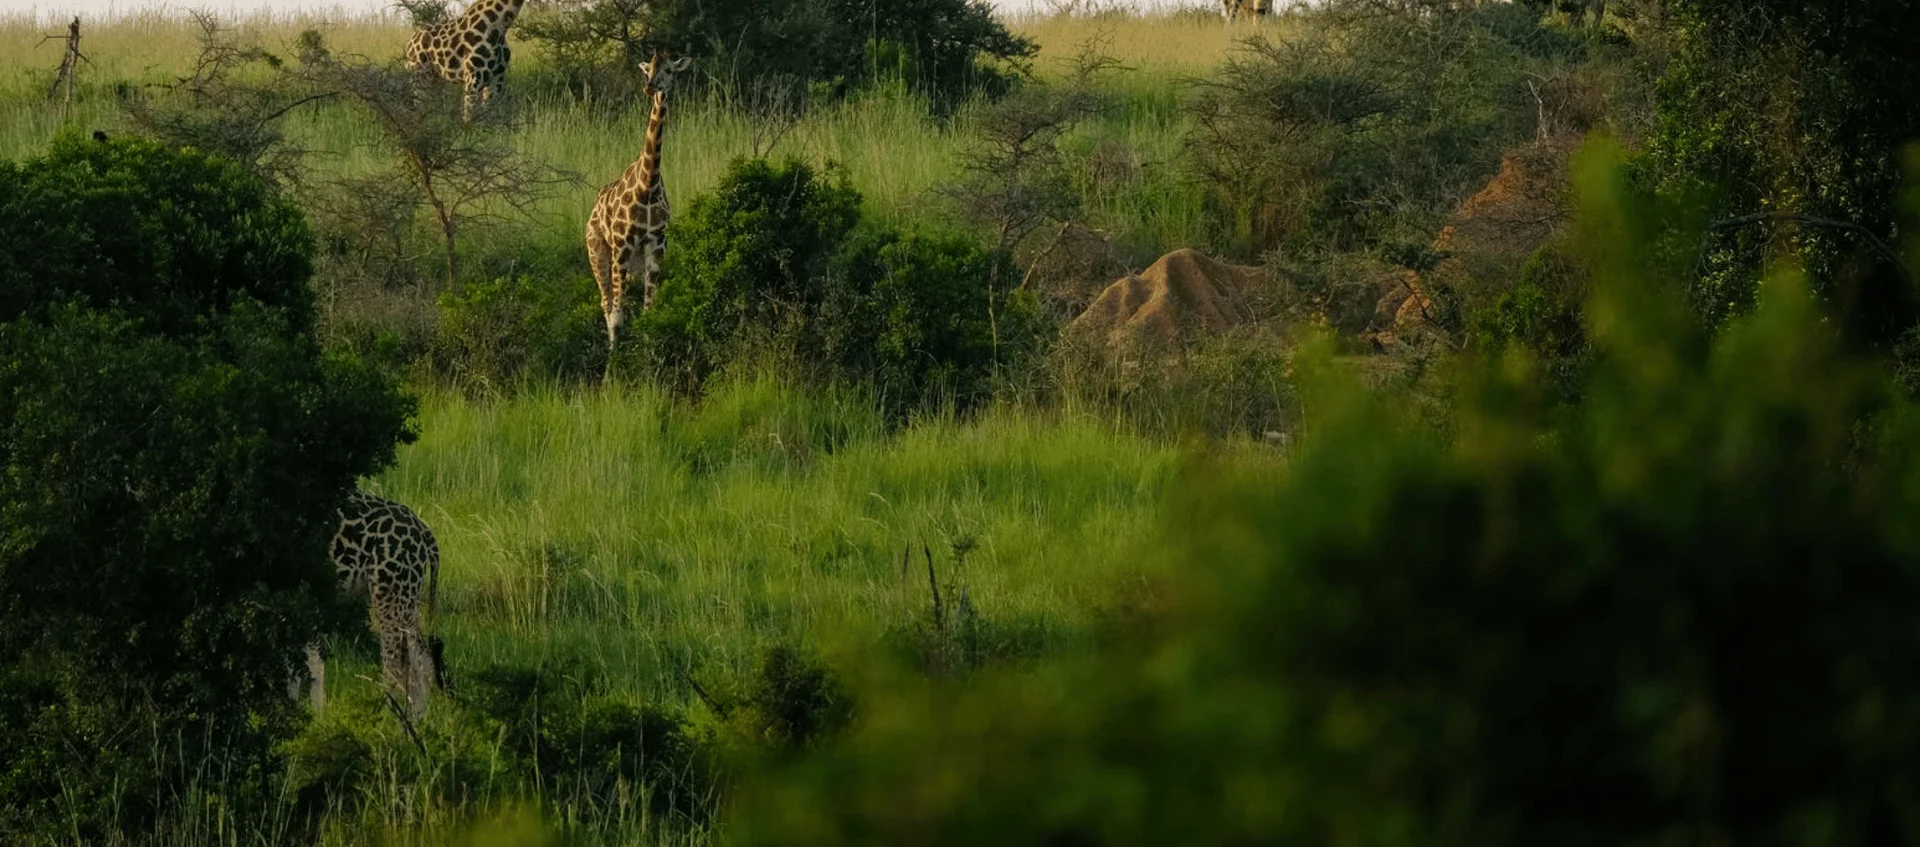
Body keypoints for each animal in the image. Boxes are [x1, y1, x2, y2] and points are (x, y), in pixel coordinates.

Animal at [291, 487, 445, 718]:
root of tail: (425, 534)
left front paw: (315, 715)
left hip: (390, 593)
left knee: (394, 666)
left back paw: (388, 719)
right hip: (407, 596)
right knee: (422, 660)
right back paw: (416, 720)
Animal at [401, 0, 529, 120]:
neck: (499, 26)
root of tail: (409, 44)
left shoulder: (498, 78)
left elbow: (490, 116)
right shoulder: (473, 79)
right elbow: (469, 118)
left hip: (435, 79)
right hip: (419, 77)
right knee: (419, 108)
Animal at [587, 52, 702, 349]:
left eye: (669, 70)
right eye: (647, 70)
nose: (650, 87)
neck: (647, 185)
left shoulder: (657, 244)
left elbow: (649, 311)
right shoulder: (622, 246)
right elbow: (617, 318)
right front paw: (615, 361)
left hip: (634, 263)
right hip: (598, 252)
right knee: (607, 305)